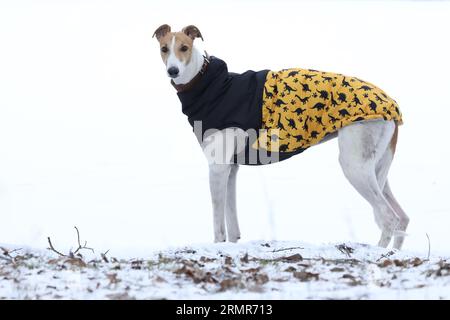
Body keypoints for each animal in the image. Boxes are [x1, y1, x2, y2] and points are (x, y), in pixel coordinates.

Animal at [153, 25, 410, 250]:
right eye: (164, 48)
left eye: (184, 48)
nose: (173, 71)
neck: (211, 85)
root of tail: (392, 104)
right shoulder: (230, 168)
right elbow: (233, 224)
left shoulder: (217, 167)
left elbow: (218, 224)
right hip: (374, 168)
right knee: (402, 217)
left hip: (354, 165)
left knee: (388, 217)